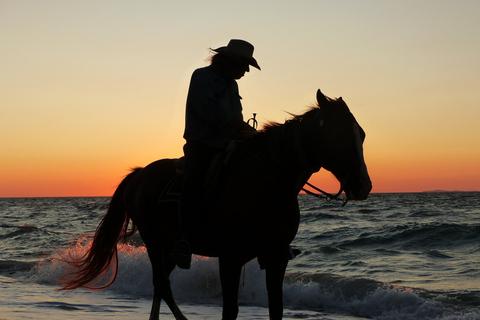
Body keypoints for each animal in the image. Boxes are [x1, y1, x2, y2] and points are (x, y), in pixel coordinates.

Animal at [59, 89, 372, 320]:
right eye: (338, 134)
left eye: (362, 134)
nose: (363, 185)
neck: (267, 182)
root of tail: (139, 174)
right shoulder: (230, 258)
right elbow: (229, 311)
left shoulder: (276, 256)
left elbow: (276, 310)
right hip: (153, 240)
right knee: (163, 286)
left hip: (169, 247)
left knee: (161, 286)